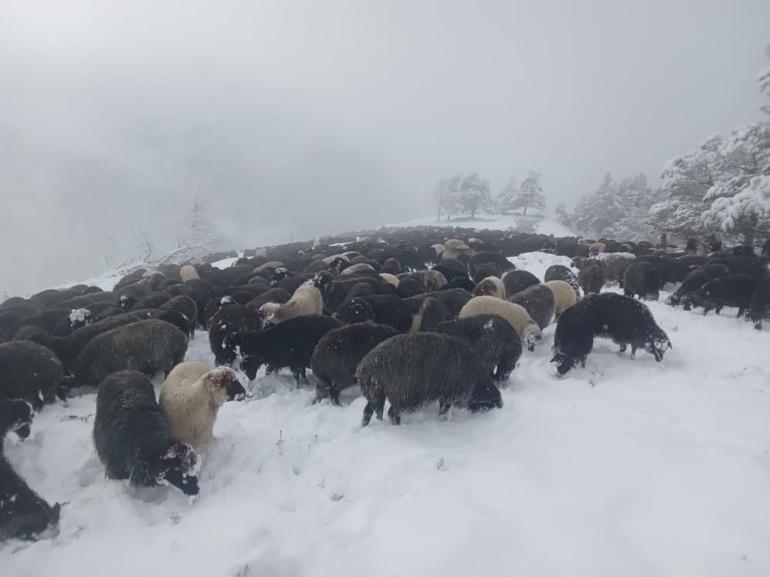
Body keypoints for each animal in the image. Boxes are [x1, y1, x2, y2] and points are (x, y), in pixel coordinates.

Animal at [356, 332, 500, 424]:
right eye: (488, 404)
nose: (499, 408)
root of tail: (365, 366)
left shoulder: (445, 395)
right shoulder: (449, 394)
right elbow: (444, 410)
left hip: (375, 394)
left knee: (367, 412)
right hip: (402, 395)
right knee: (392, 413)